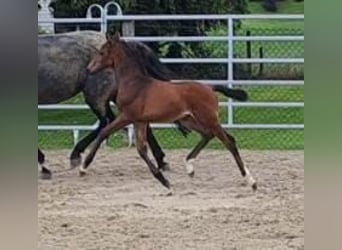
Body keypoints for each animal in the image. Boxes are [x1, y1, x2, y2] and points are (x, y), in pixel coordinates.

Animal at [82, 31, 256, 191]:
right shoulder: (140, 121)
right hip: (189, 119)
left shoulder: (127, 116)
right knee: (207, 135)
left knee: (229, 141)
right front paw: (164, 181)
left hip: (209, 119)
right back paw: (190, 167)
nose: (89, 68)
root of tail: (210, 88)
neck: (135, 83)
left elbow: (104, 132)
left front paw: (84, 166)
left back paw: (250, 181)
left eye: (102, 52)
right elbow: (141, 149)